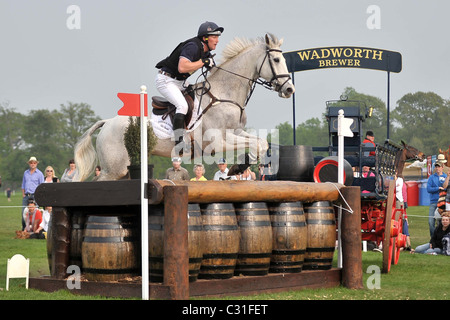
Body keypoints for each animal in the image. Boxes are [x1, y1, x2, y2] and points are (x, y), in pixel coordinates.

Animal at [74, 34, 296, 182]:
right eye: (276, 60)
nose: (289, 89)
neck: (224, 94)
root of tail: (107, 123)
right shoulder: (218, 141)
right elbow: (256, 144)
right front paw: (237, 168)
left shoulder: (237, 132)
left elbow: (261, 143)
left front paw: (238, 168)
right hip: (114, 169)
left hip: (125, 169)